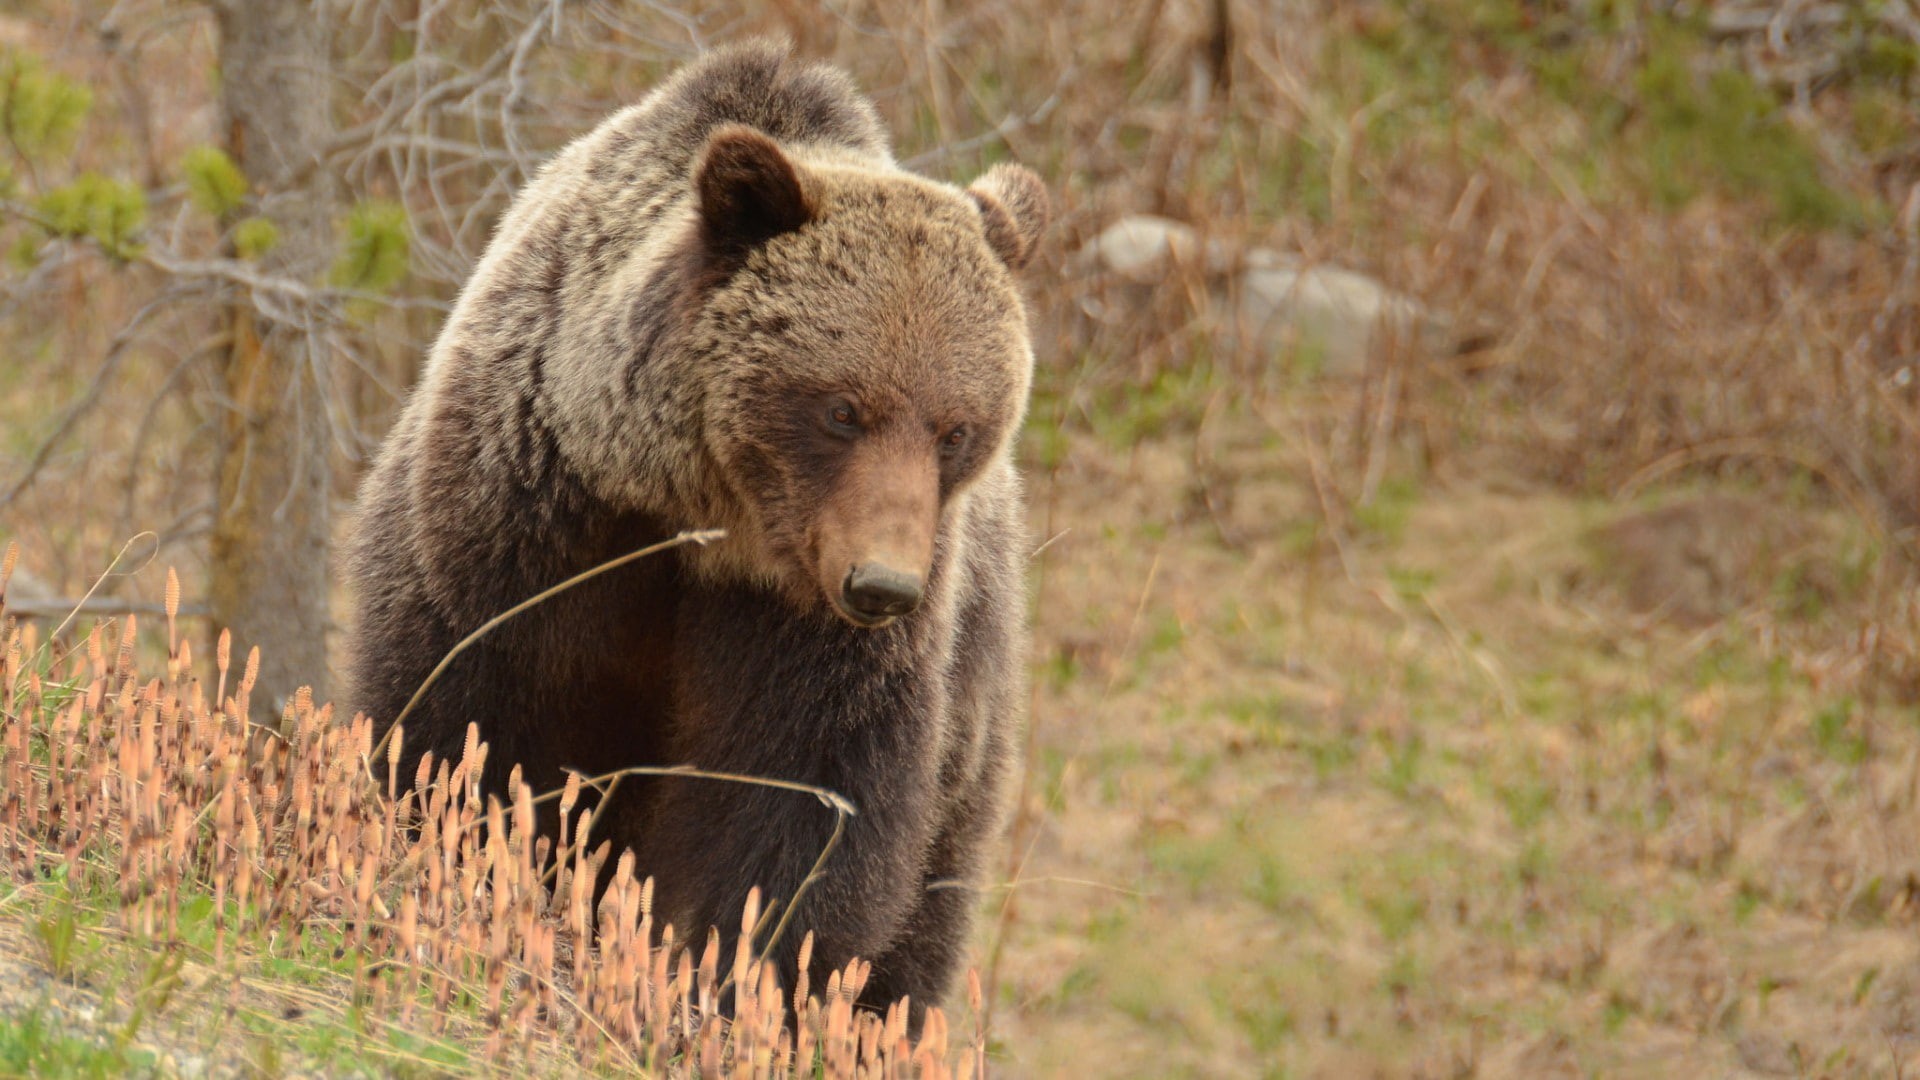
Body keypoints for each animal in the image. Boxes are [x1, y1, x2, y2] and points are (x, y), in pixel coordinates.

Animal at [344, 39, 1047, 1024]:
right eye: (842, 409)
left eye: (957, 429)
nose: (883, 586)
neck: (698, 520)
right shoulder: (525, 522)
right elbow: (467, 718)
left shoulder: (807, 630)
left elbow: (802, 803)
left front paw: (737, 975)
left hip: (975, 699)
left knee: (932, 896)